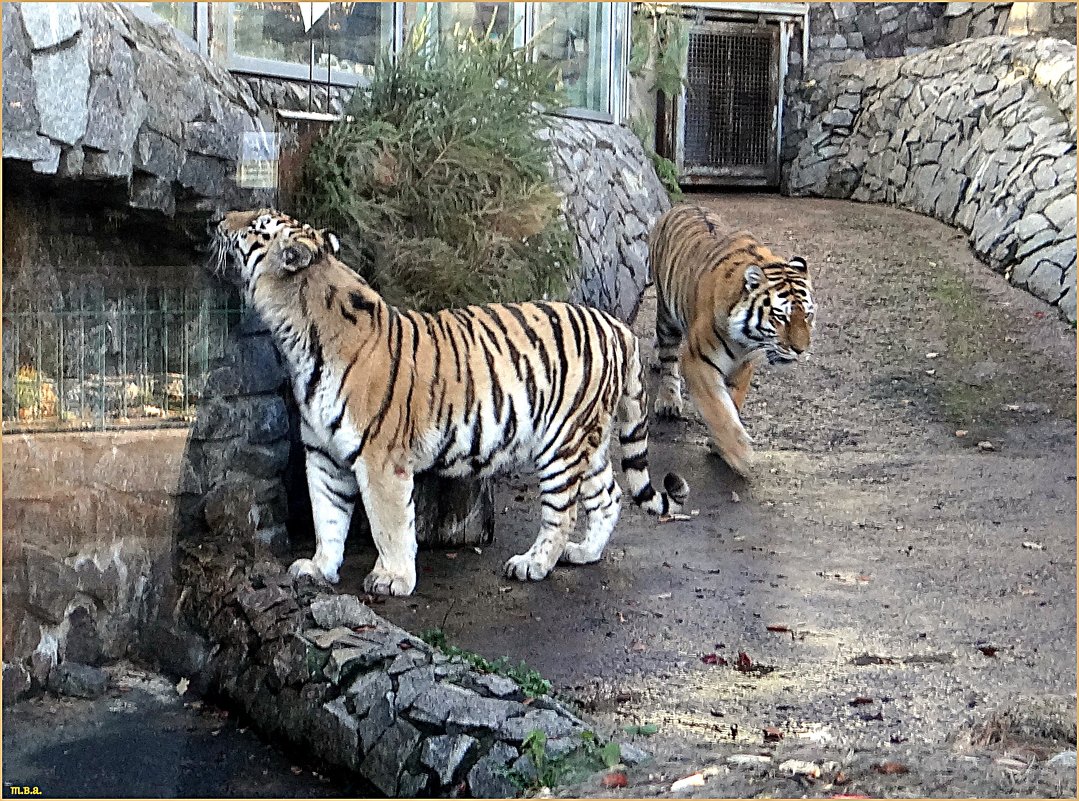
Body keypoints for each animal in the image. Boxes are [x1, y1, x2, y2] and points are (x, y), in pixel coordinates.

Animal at [211, 210, 686, 600]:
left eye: (256, 225)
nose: (219, 220)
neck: (297, 333)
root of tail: (619, 328)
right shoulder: (323, 454)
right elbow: (326, 517)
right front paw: (318, 569)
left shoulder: (381, 460)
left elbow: (389, 526)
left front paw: (393, 579)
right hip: (588, 439)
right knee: (609, 496)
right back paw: (584, 552)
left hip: (562, 444)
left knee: (561, 512)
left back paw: (533, 563)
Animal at [647, 205, 815, 477]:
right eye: (781, 317)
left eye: (808, 315)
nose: (800, 350)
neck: (746, 340)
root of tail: (680, 205)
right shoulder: (698, 361)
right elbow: (718, 409)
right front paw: (739, 454)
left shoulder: (744, 365)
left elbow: (732, 402)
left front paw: (720, 446)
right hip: (666, 310)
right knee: (668, 355)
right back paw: (669, 400)